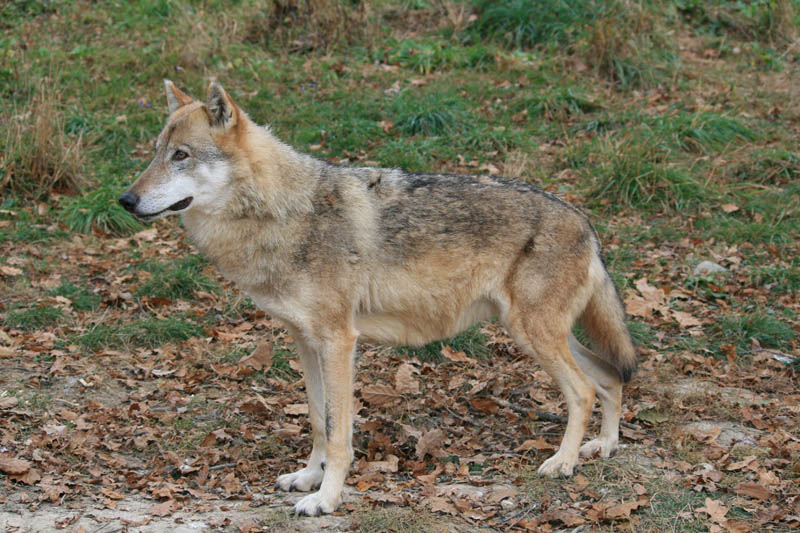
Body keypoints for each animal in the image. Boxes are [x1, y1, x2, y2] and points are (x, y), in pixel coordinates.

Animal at [119, 80, 637, 516]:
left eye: (181, 155)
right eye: (155, 153)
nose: (125, 200)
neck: (281, 213)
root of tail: (586, 222)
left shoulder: (338, 341)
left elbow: (338, 434)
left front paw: (326, 500)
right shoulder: (305, 342)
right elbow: (317, 420)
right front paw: (307, 478)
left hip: (532, 335)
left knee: (583, 390)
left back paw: (564, 463)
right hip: (540, 335)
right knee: (610, 376)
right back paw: (604, 448)